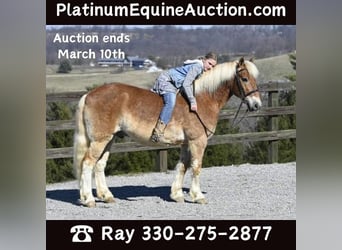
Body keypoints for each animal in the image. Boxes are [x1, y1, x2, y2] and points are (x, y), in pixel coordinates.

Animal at [73, 57, 260, 207]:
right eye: (244, 78)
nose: (257, 104)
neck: (201, 99)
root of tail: (89, 95)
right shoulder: (198, 141)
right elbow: (196, 167)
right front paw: (198, 196)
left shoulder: (186, 143)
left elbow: (182, 166)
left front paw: (177, 195)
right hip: (100, 140)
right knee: (87, 163)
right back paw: (89, 199)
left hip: (109, 139)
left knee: (99, 165)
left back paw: (106, 196)